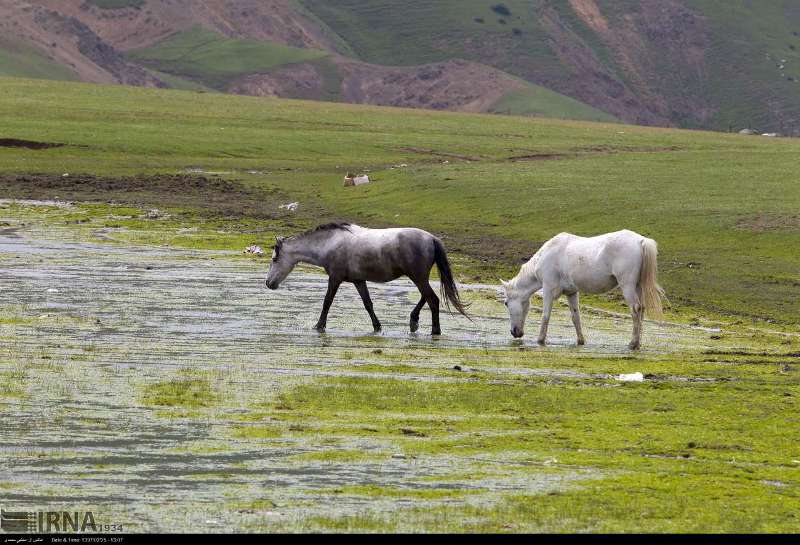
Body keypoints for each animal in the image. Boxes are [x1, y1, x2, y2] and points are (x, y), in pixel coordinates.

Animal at [268, 222, 468, 334]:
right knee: (427, 297)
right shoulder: (359, 281)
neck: (329, 243)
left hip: (418, 278)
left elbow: (327, 302)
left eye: (274, 259)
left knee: (432, 299)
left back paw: (435, 331)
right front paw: (377, 327)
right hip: (419, 278)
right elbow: (368, 304)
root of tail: (432, 238)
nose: (268, 283)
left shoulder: (335, 278)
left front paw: (319, 326)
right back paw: (414, 321)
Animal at [504, 230, 664, 348]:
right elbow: (576, 317)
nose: (514, 332)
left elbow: (545, 316)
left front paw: (540, 340)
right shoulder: (572, 293)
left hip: (628, 286)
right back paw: (638, 343)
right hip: (638, 286)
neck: (545, 256)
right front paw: (580, 341)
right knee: (641, 310)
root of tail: (640, 241)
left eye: (506, 303)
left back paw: (633, 343)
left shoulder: (548, 290)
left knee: (635, 310)